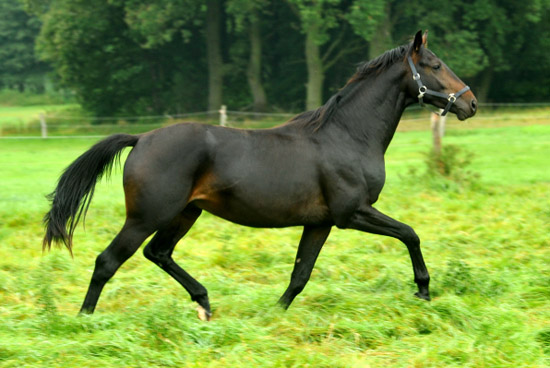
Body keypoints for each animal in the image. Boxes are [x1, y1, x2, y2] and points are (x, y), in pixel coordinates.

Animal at [44, 30, 478, 320]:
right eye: (436, 65)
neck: (347, 135)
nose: (470, 103)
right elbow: (410, 234)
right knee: (108, 261)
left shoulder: (320, 223)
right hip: (146, 216)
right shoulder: (352, 213)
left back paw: (204, 302)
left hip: (185, 213)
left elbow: (301, 273)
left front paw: (275, 313)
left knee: (158, 253)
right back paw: (85, 322)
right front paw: (423, 290)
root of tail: (142, 138)